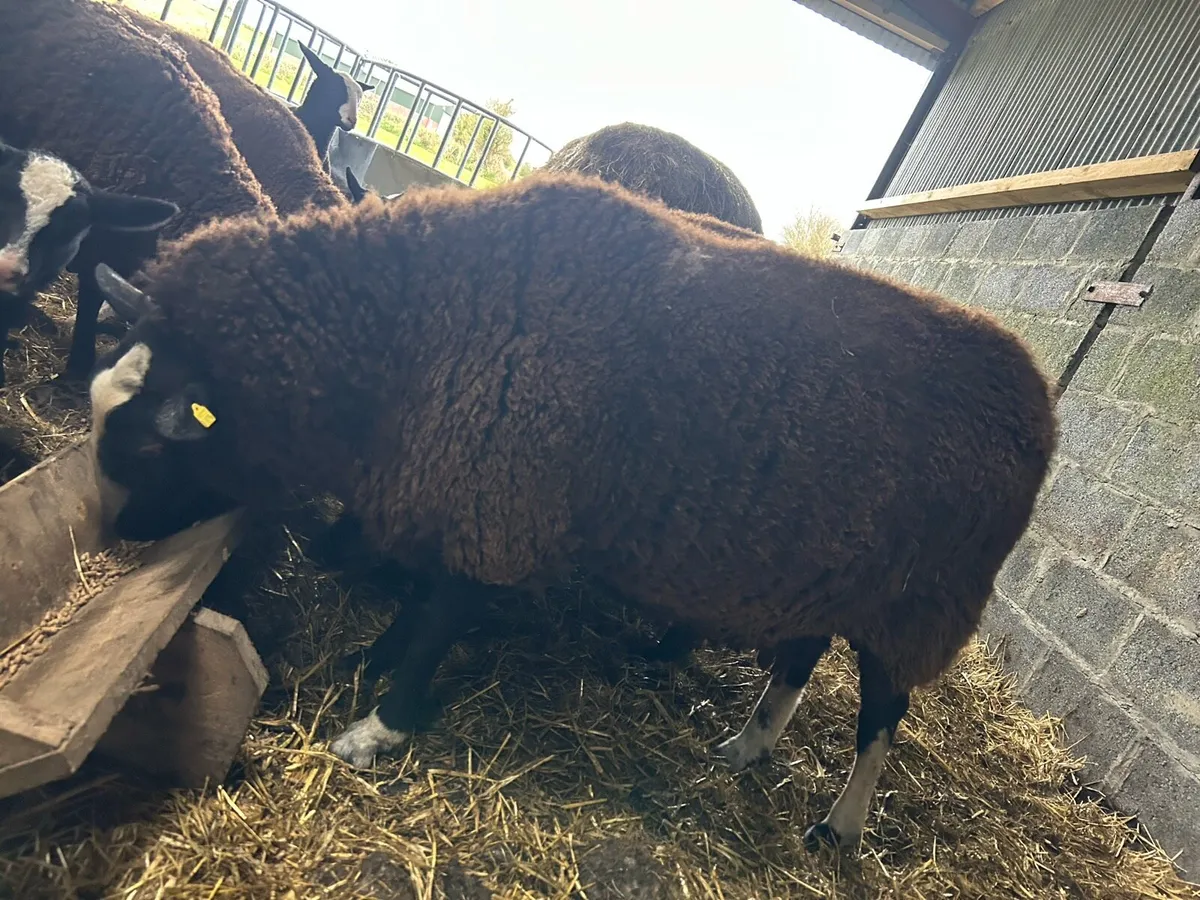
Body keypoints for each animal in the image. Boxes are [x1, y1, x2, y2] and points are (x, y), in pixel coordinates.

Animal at [87, 171, 1056, 852]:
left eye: (153, 446)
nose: (114, 538)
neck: (408, 333)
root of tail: (1038, 402)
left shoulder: (502, 492)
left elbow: (442, 615)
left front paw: (377, 727)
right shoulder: (467, 486)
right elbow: (422, 601)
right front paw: (372, 658)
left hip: (916, 601)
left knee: (882, 715)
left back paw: (841, 826)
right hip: (827, 569)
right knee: (802, 656)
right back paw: (747, 747)